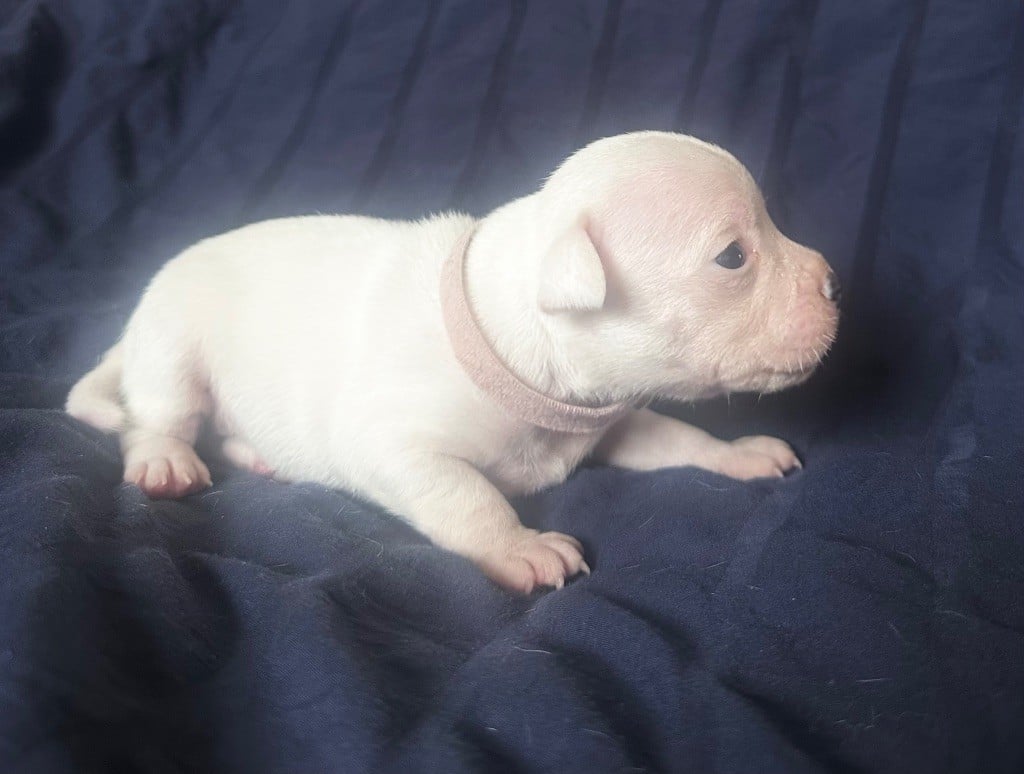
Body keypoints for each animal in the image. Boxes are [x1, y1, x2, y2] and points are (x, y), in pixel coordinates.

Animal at [66, 131, 839, 593]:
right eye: (733, 256)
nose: (834, 281)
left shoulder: (610, 414)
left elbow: (675, 437)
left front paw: (739, 453)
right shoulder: (396, 445)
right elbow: (467, 495)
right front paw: (522, 547)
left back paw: (258, 455)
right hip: (174, 344)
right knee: (157, 418)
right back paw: (166, 459)